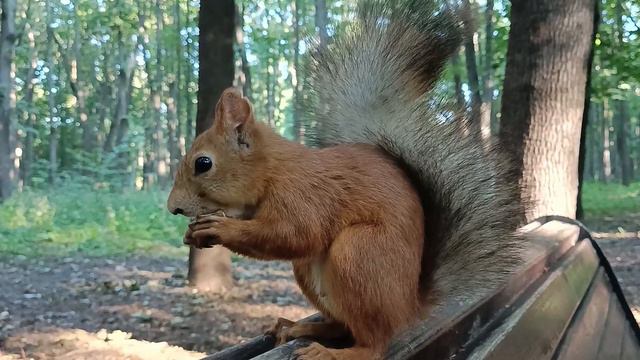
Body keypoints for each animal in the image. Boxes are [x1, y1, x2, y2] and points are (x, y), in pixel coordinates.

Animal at [166, 1, 524, 358]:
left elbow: (294, 234)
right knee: (341, 325)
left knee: (374, 343)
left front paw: (220, 228)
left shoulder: (303, 194)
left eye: (203, 163)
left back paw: (333, 351)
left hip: (359, 253)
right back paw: (299, 328)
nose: (173, 208)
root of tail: (409, 307)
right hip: (312, 271)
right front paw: (193, 233)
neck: (273, 171)